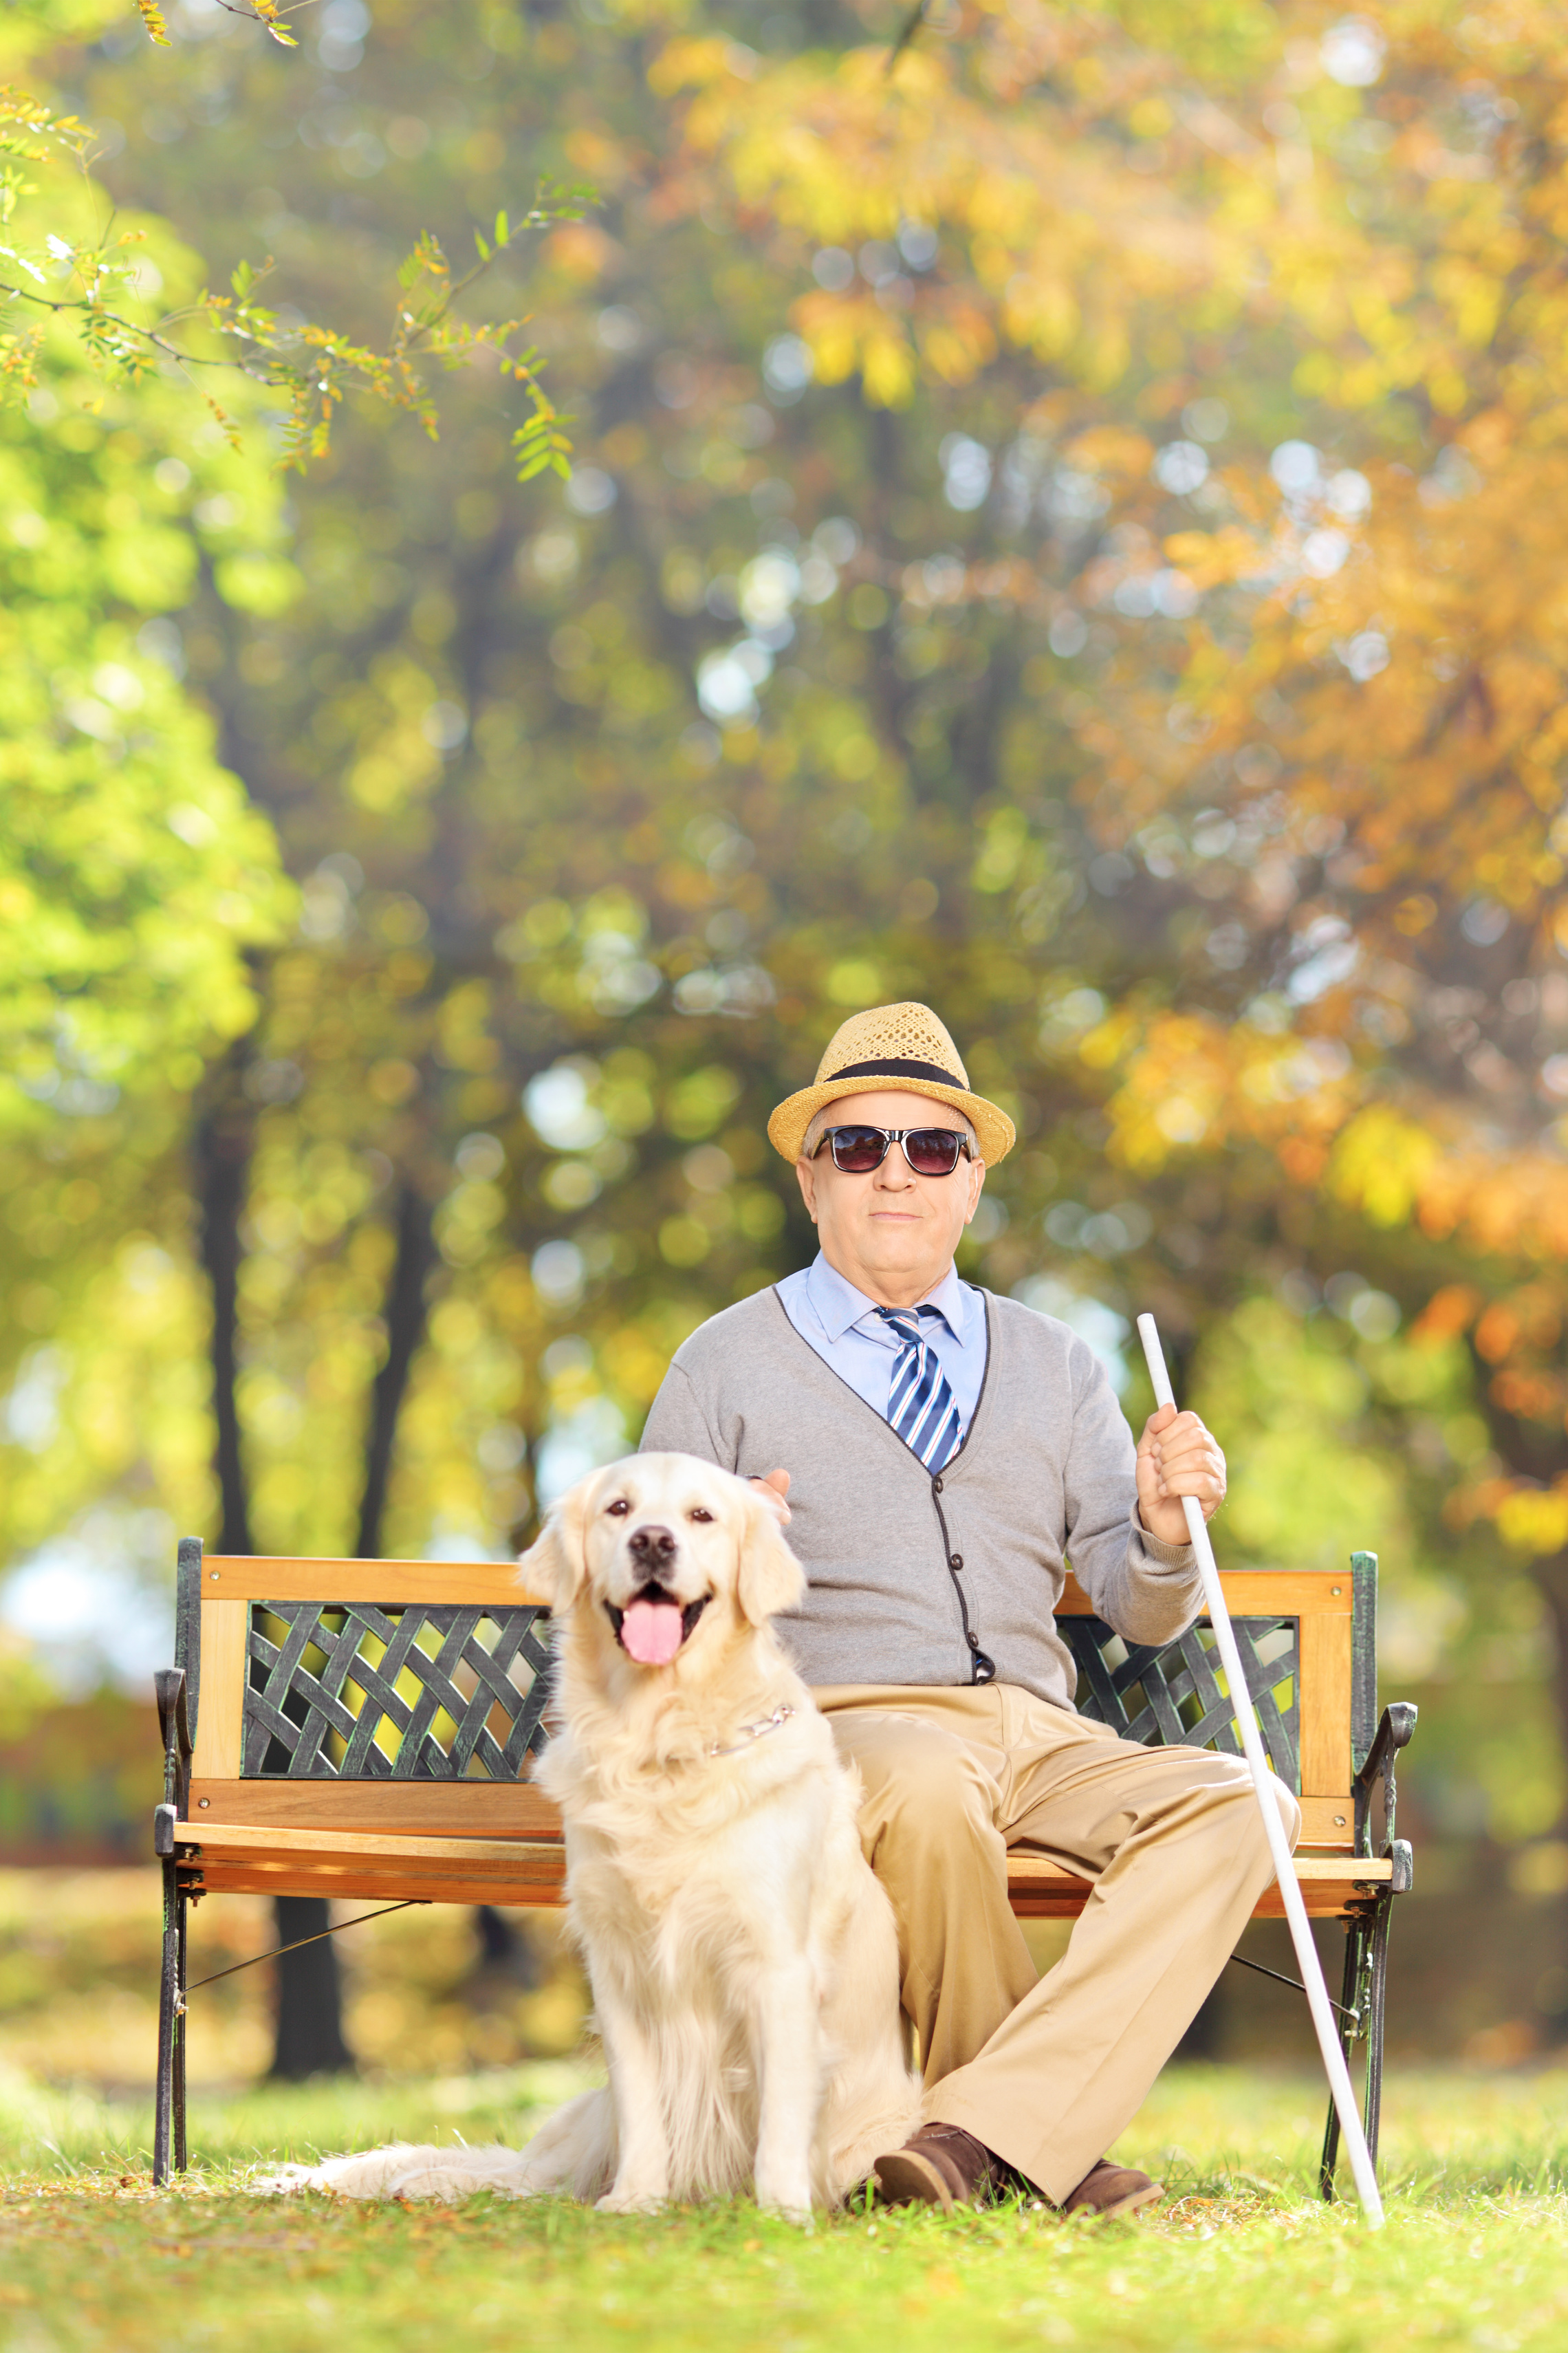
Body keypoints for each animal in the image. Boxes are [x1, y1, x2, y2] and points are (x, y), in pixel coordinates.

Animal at [263, 1440, 922, 2211]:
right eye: (619, 1508)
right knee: (527, 2174)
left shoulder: (776, 1964)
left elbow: (783, 2112)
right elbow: (641, 2103)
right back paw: (423, 2180)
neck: (660, 1748)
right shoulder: (617, 1966)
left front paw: (781, 2210)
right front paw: (634, 2201)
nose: (653, 1541)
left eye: (702, 1515)